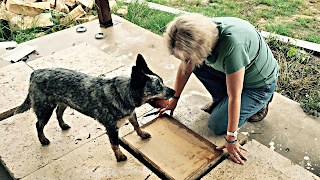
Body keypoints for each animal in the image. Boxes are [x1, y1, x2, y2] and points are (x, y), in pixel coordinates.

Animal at [14, 54, 175, 162]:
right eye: (158, 87)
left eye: (162, 82)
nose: (174, 91)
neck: (121, 94)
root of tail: (34, 73)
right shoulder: (112, 128)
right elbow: (115, 144)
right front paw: (119, 156)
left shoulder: (131, 114)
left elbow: (136, 125)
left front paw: (141, 134)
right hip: (44, 109)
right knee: (38, 125)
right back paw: (43, 140)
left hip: (64, 103)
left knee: (58, 113)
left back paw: (63, 125)